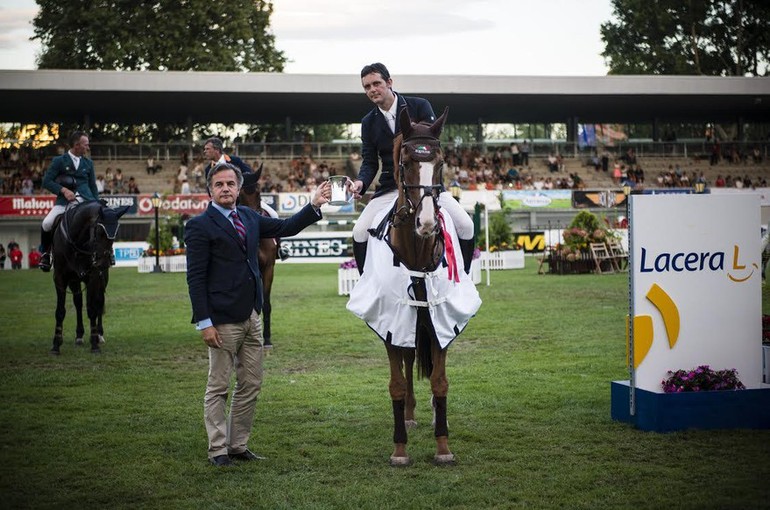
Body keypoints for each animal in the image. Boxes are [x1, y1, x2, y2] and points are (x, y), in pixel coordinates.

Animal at [49, 200, 128, 354]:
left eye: (115, 234)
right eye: (100, 232)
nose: (104, 262)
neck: (77, 242)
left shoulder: (94, 277)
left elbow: (93, 309)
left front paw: (95, 344)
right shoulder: (60, 277)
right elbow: (60, 311)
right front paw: (56, 345)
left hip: (101, 280)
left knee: (98, 303)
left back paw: (99, 334)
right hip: (74, 281)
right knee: (78, 303)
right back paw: (79, 335)